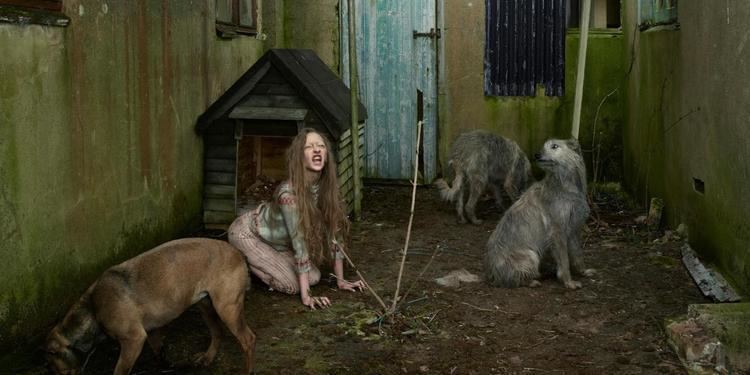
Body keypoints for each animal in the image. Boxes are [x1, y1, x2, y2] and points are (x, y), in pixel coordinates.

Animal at [44, 239, 256, 374]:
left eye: (55, 367)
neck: (92, 309)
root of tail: (238, 253)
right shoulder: (153, 331)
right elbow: (158, 351)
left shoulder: (133, 340)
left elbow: (119, 371)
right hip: (206, 306)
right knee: (217, 332)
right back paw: (207, 358)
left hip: (227, 308)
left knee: (248, 340)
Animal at [484, 140, 596, 290]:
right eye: (545, 146)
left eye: (554, 146)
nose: (536, 155)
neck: (564, 185)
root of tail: (492, 274)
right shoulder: (557, 232)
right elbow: (564, 261)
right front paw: (568, 282)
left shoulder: (573, 230)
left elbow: (578, 255)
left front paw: (583, 272)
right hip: (531, 256)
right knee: (515, 280)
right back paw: (532, 281)